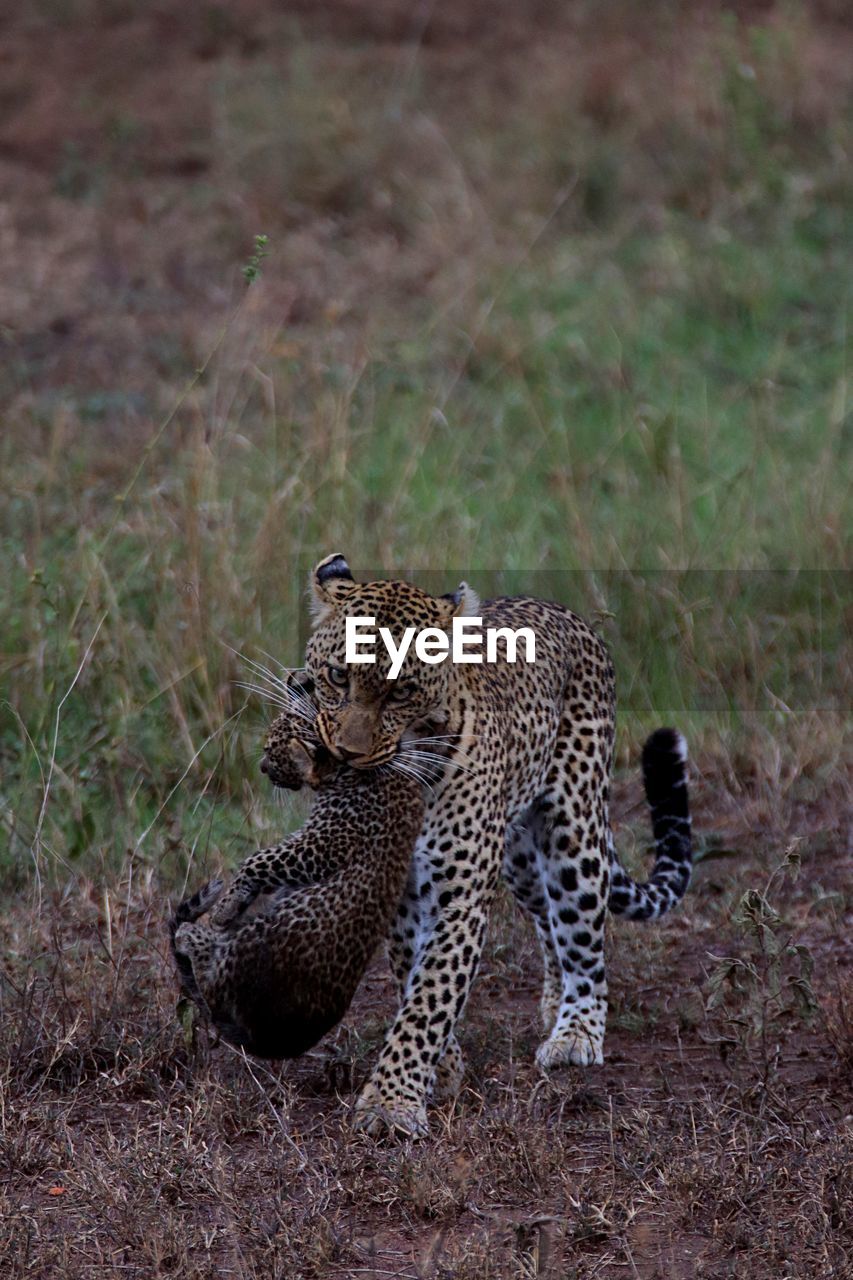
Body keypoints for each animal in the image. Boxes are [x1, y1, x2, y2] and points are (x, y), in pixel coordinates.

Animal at [302, 555, 686, 1136]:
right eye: (337, 676)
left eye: (401, 693)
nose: (347, 753)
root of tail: (564, 610)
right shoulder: (400, 893)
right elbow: (411, 978)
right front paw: (442, 1070)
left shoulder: (458, 899)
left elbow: (430, 997)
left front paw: (391, 1103)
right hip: (521, 859)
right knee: (549, 920)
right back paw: (552, 1002)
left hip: (572, 832)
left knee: (585, 942)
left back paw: (575, 1032)